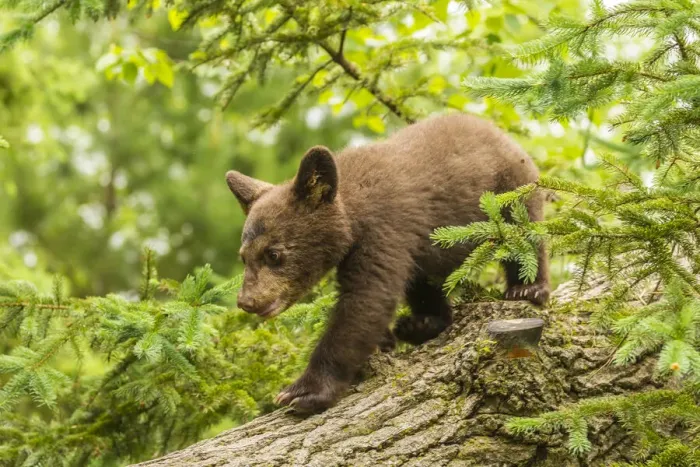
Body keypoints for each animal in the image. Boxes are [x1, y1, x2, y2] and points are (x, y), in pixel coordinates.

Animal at [225, 113, 549, 413]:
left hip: (510, 190)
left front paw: (304, 391)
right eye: (243, 257)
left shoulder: (384, 229)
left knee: (524, 237)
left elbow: (366, 300)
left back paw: (527, 288)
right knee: (422, 280)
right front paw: (386, 340)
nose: (247, 301)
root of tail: (497, 131)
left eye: (273, 254)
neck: (353, 210)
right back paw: (420, 323)